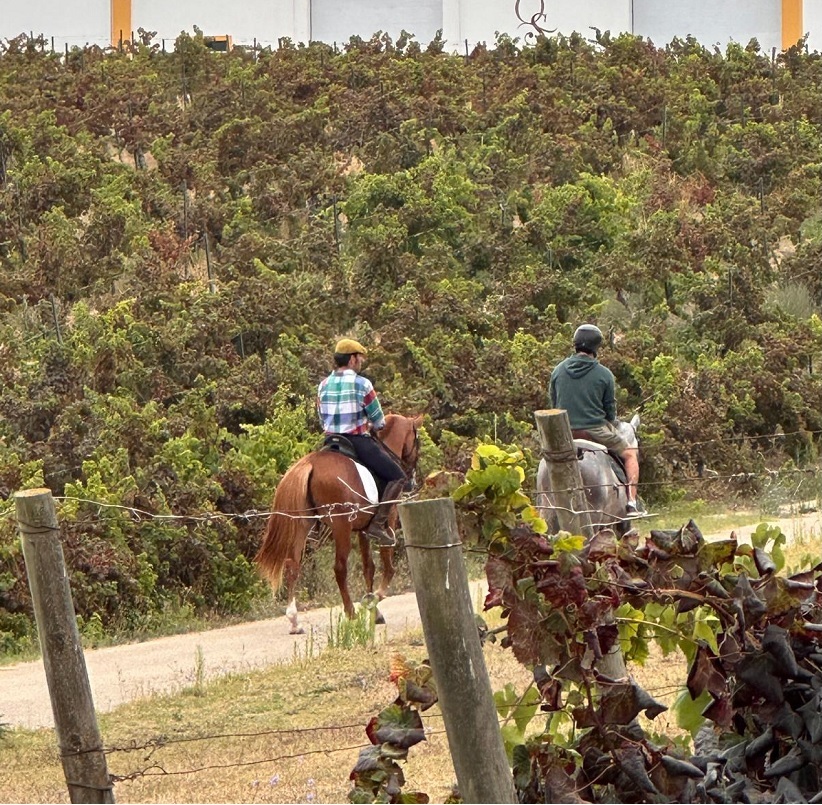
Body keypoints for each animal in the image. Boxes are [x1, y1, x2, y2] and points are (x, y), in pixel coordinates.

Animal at [254, 413, 423, 634]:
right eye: (417, 442)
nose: (412, 481)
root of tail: (310, 464)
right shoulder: (388, 521)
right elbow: (388, 567)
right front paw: (373, 601)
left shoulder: (362, 530)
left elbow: (369, 567)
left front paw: (374, 609)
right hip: (341, 526)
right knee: (340, 568)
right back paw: (350, 613)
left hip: (301, 524)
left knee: (292, 565)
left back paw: (294, 621)